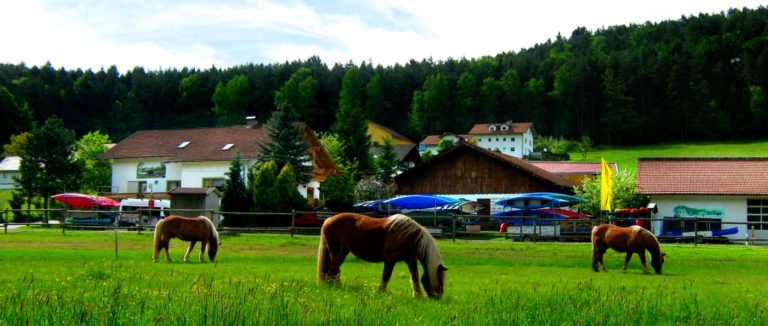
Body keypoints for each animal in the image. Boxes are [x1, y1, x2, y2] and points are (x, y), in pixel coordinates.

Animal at [316, 213, 448, 300]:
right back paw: (337, 287)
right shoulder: (390, 260)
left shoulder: (411, 260)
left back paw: (330, 286)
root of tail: (328, 219)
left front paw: (418, 296)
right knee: (335, 270)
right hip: (335, 251)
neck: (410, 236)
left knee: (331, 271)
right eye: (439, 279)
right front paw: (381, 293)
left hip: (342, 252)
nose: (438, 298)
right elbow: (386, 276)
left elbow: (415, 277)